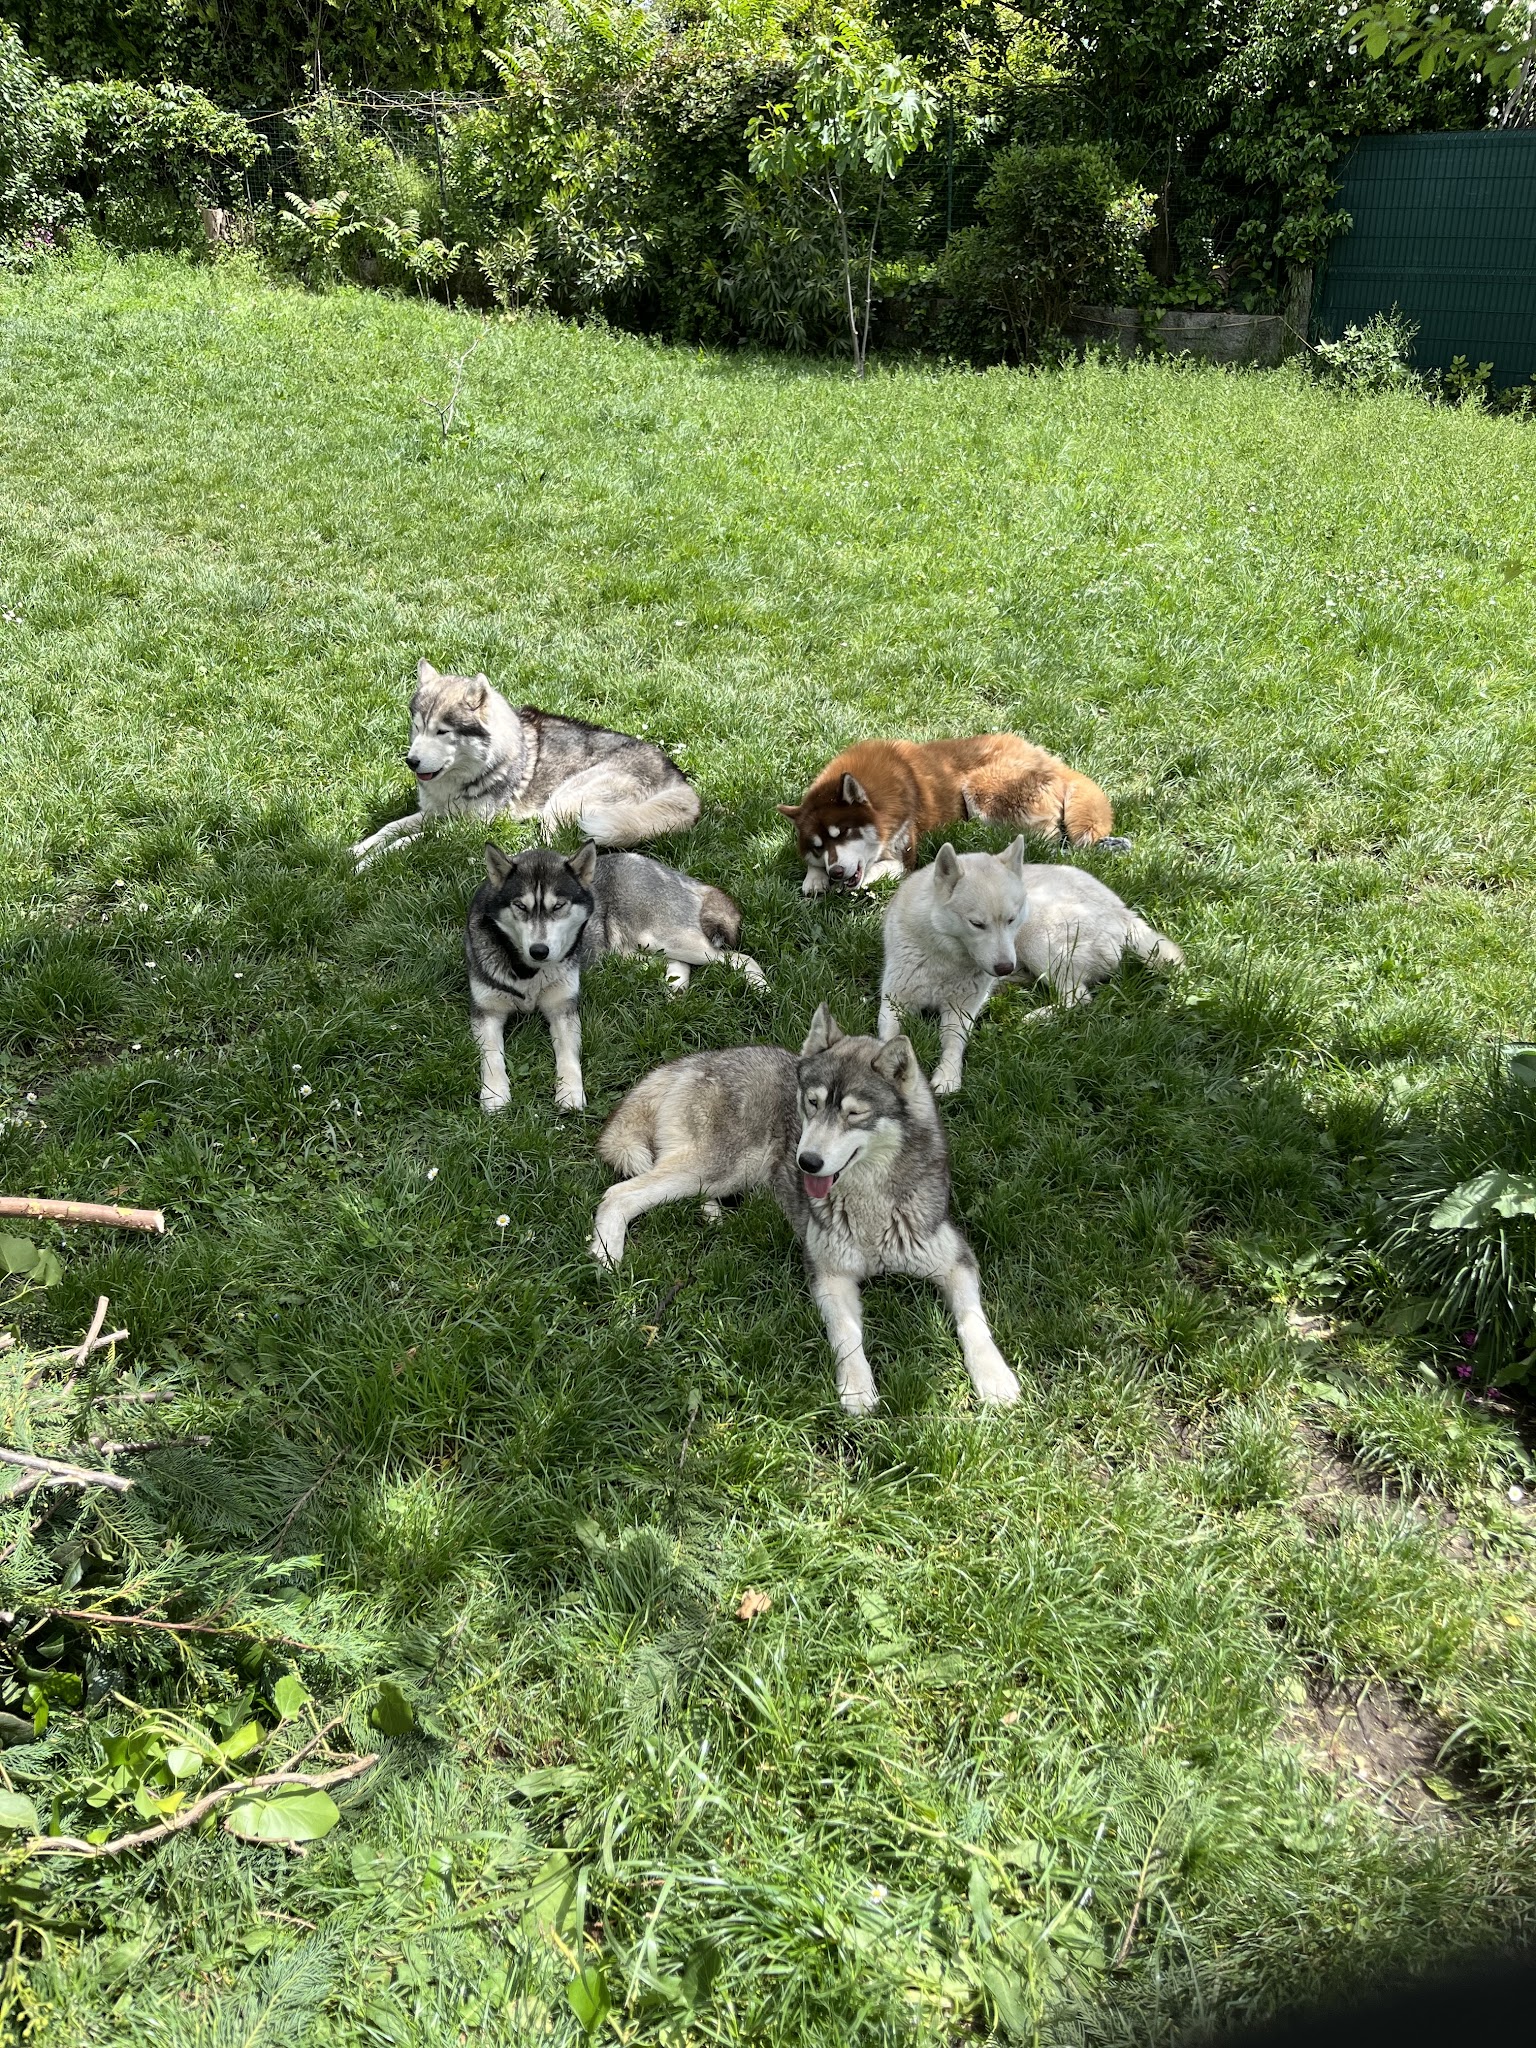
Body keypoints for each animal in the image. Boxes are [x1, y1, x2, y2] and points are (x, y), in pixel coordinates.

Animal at [350, 660, 700, 866]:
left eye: (442, 731)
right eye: (417, 727)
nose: (411, 761)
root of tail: (680, 780)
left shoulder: (464, 828)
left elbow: (409, 841)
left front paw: (370, 862)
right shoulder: (434, 813)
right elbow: (390, 827)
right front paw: (359, 849)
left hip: (564, 801)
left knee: (560, 849)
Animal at [466, 841, 766, 1114]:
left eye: (559, 905)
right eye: (520, 906)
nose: (539, 951)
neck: (528, 972)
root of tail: (663, 869)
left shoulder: (563, 1008)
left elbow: (568, 1055)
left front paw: (570, 1092)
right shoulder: (486, 1012)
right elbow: (491, 1056)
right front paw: (494, 1094)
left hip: (664, 938)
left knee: (739, 957)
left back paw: (761, 987)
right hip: (628, 954)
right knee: (676, 964)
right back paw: (674, 995)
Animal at [589, 1005, 1021, 1414]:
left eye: (854, 1114)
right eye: (812, 1104)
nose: (806, 1162)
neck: (870, 1206)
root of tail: (693, 1060)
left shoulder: (956, 1261)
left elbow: (974, 1323)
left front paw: (995, 1378)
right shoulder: (829, 1275)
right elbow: (847, 1334)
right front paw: (857, 1389)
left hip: (719, 1176)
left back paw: (710, 1216)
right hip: (715, 1168)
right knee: (617, 1194)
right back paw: (606, 1255)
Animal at [778, 734, 1122, 895]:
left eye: (844, 833)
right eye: (818, 846)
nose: (836, 872)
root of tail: (1047, 758)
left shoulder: (906, 853)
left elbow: (885, 868)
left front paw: (862, 879)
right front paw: (815, 879)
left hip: (983, 791)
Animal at [879, 838, 1183, 1093]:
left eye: (1010, 920)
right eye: (977, 924)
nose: (1003, 967)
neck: (945, 959)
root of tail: (1123, 912)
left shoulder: (961, 1009)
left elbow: (953, 1041)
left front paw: (948, 1075)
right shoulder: (893, 1002)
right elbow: (888, 1040)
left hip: (1035, 934)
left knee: (1077, 997)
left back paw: (1030, 1016)